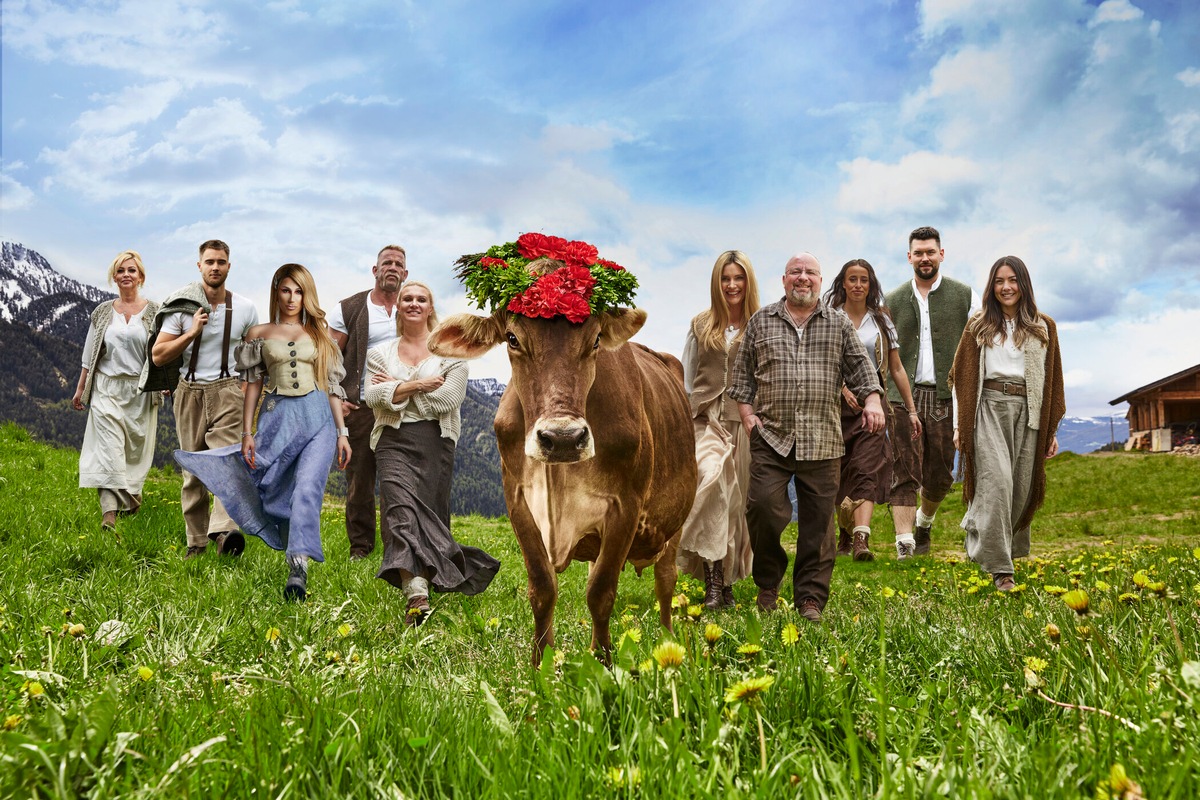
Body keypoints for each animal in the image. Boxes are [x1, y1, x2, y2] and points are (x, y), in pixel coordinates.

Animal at [429, 299, 696, 662]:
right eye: (512, 338)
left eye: (596, 340)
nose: (563, 438)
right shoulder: (518, 501)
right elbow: (542, 588)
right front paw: (540, 665)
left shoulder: (625, 505)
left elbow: (601, 592)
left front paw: (603, 664)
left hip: (676, 521)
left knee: (665, 581)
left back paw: (669, 643)